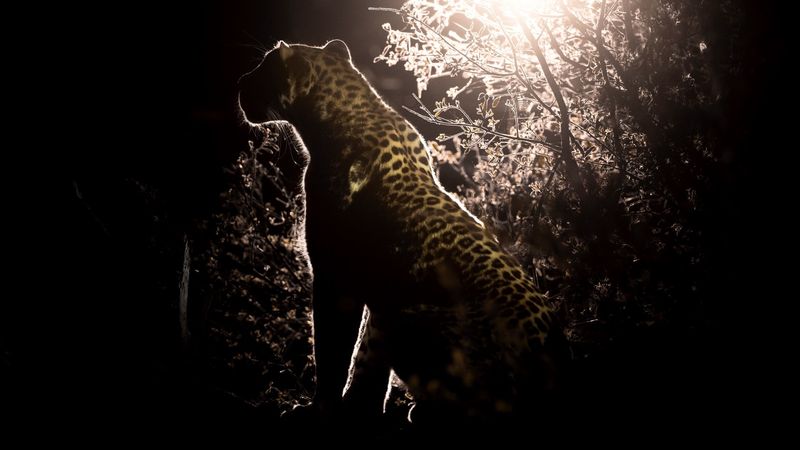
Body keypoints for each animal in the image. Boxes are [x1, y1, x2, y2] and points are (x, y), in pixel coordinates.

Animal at [238, 39, 566, 428]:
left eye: (264, 68)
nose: (240, 85)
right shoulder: (379, 293)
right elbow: (367, 353)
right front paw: (356, 406)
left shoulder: (335, 277)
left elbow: (334, 348)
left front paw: (320, 408)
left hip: (417, 318)